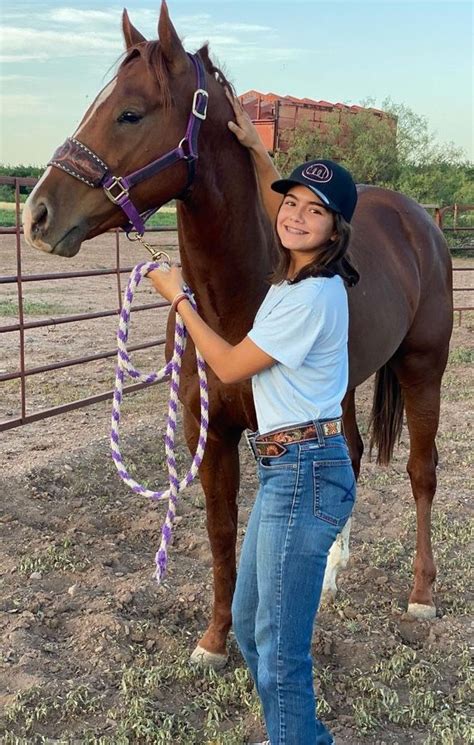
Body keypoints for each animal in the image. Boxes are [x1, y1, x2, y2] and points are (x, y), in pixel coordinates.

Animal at [23, 4, 452, 668]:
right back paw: (334, 569)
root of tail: (420, 221)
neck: (241, 296)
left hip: (422, 367)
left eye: (130, 113)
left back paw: (421, 593)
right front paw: (214, 640)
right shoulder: (211, 434)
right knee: (354, 452)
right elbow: (222, 530)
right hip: (345, 387)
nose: (37, 215)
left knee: (421, 472)